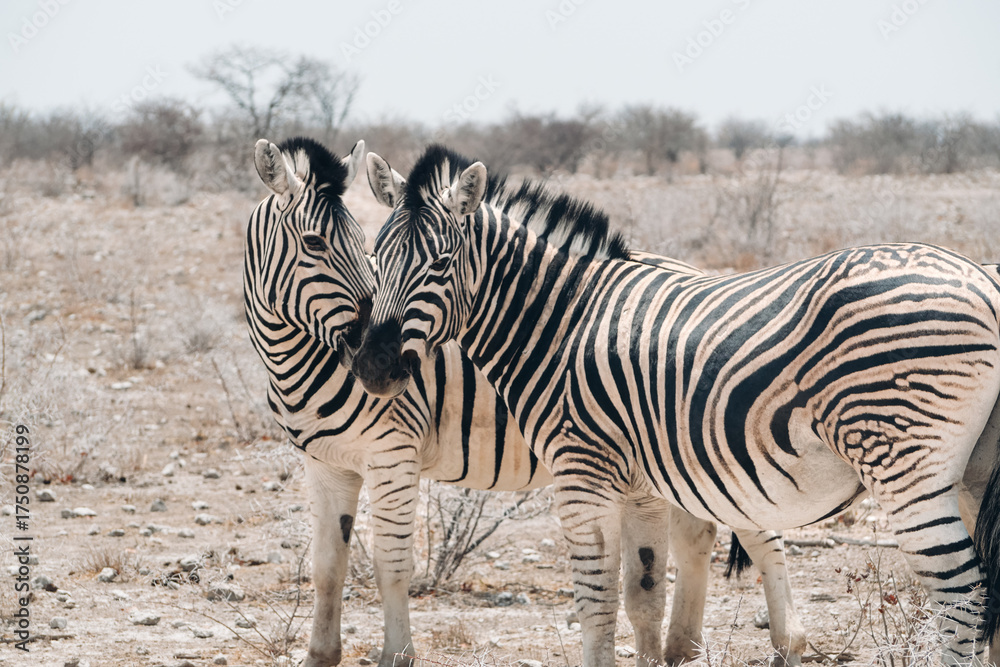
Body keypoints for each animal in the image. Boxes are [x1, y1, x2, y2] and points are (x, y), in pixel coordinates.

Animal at [243, 137, 805, 666]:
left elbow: (390, 565)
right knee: (699, 531)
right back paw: (682, 646)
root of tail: (684, 266)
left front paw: (396, 655)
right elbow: (326, 567)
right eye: (317, 243)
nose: (368, 362)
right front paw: (320, 655)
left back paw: (787, 643)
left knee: (760, 534)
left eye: (360, 246)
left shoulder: (392, 455)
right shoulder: (325, 464)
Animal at [351, 144, 1000, 666]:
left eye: (440, 264)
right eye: (375, 256)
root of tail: (980, 276)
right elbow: (643, 592)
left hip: (903, 461)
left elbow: (596, 603)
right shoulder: (640, 483)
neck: (560, 322)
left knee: (962, 597)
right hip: (973, 473)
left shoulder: (581, 471)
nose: (373, 367)